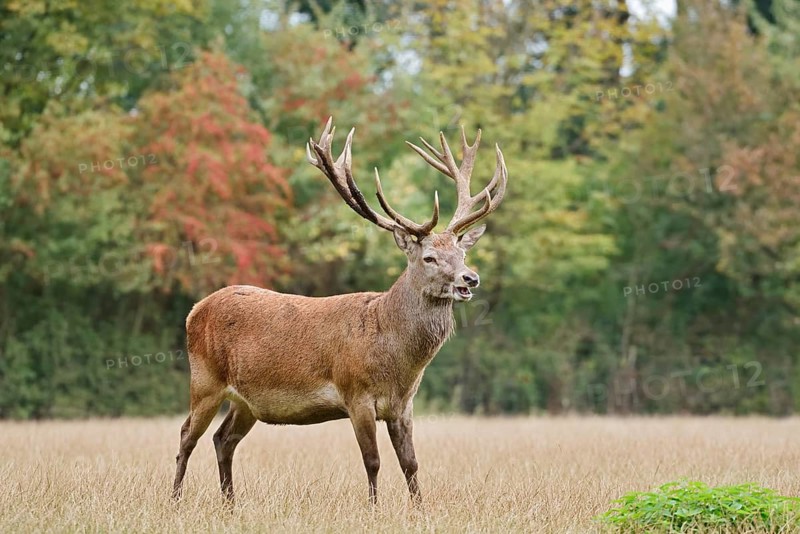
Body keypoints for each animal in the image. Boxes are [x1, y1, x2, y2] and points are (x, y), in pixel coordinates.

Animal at [171, 117, 508, 505]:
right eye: (429, 257)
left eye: (462, 253)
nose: (471, 278)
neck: (396, 357)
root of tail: (194, 310)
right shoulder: (356, 394)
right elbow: (373, 461)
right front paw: (374, 508)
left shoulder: (403, 406)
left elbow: (411, 463)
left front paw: (420, 509)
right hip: (204, 380)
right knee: (186, 435)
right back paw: (176, 499)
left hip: (246, 402)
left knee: (223, 439)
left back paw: (230, 504)